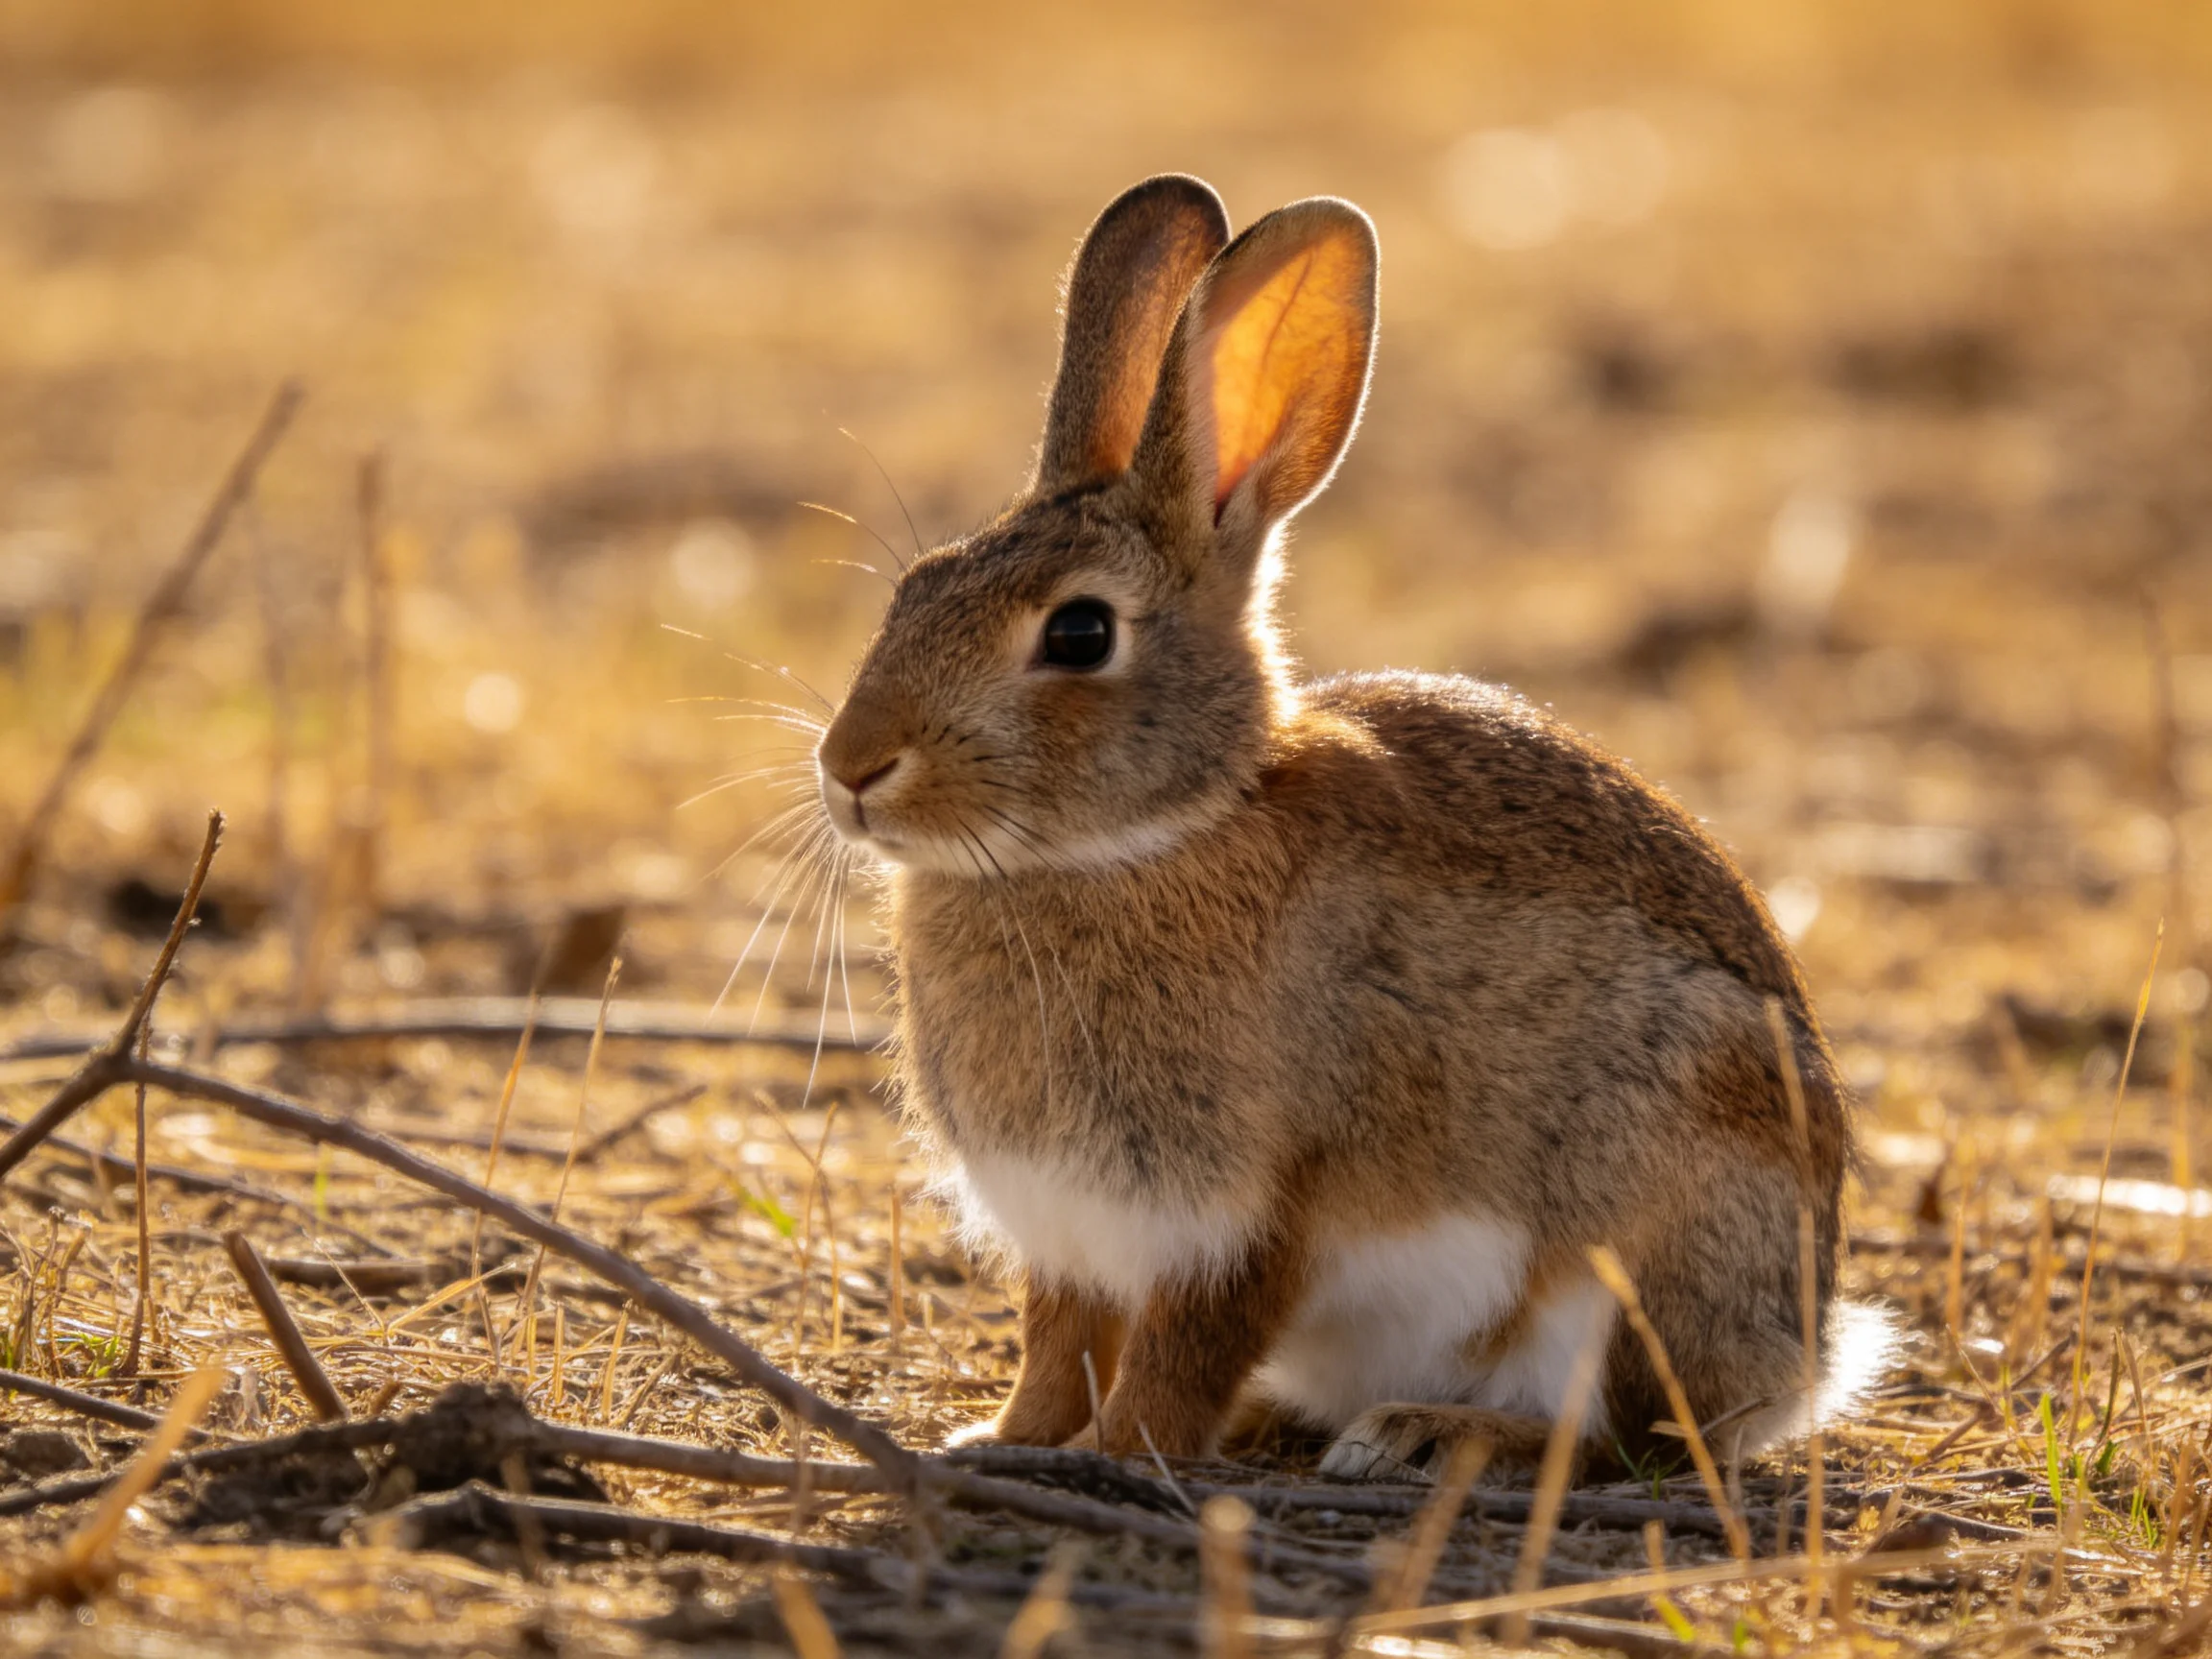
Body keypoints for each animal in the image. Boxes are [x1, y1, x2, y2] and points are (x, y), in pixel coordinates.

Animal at [814, 173, 1893, 1478]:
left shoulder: (1249, 1216)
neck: (1150, 835)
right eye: (914, 584)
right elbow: (1055, 1342)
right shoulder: (1066, 1232)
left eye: (1078, 634)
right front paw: (998, 1440)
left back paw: (1423, 1434)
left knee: (1625, 1433)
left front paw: (1113, 1457)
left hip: (1652, 1228)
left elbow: (1182, 1354)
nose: (849, 769)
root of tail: (1806, 1361)